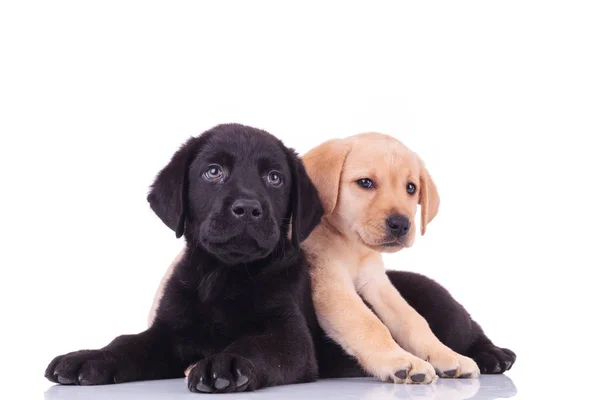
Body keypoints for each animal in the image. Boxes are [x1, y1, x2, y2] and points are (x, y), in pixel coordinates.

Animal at [45, 123, 326, 392]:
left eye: (275, 178)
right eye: (213, 171)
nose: (247, 208)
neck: (222, 275)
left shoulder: (291, 336)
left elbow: (255, 344)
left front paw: (226, 362)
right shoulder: (168, 333)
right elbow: (128, 341)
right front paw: (89, 357)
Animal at [302, 133, 480, 382]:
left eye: (411, 188)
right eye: (365, 182)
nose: (401, 224)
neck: (351, 246)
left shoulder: (376, 281)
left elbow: (413, 319)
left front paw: (445, 354)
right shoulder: (330, 283)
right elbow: (368, 323)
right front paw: (399, 360)